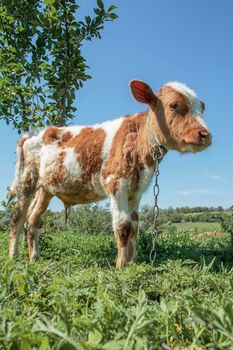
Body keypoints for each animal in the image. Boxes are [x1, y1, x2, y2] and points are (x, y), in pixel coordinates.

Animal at [8, 80, 211, 268]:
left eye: (202, 107)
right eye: (174, 105)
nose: (205, 135)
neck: (138, 143)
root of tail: (34, 132)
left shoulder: (137, 189)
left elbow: (134, 225)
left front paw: (132, 262)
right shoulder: (116, 183)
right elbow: (123, 226)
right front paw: (121, 266)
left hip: (45, 188)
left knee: (33, 219)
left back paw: (34, 257)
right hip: (28, 180)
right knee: (17, 216)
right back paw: (13, 257)